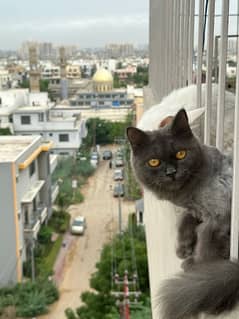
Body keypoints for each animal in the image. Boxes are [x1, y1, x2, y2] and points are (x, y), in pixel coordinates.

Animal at [127, 109, 239, 318]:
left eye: (181, 154)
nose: (171, 172)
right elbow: (184, 219)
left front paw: (199, 272)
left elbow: (205, 244)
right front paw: (183, 248)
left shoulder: (220, 213)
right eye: (154, 162)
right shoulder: (197, 211)